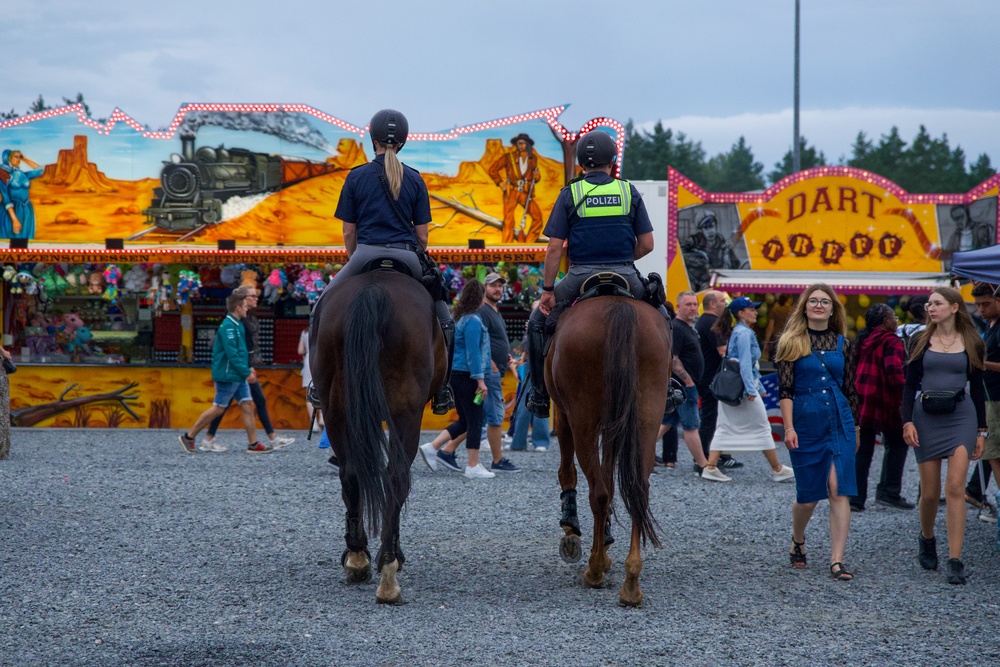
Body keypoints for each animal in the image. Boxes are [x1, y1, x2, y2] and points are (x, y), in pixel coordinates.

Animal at [312, 270, 446, 604]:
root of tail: (373, 290)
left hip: (335, 407)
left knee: (351, 473)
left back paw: (358, 556)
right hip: (406, 411)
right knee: (396, 476)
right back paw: (388, 566)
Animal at [548, 296, 672, 604]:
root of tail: (620, 307)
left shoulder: (565, 416)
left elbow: (569, 472)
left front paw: (572, 529)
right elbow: (610, 478)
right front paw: (604, 540)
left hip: (583, 418)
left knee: (599, 493)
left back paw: (595, 569)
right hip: (647, 413)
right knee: (638, 489)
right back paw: (631, 581)